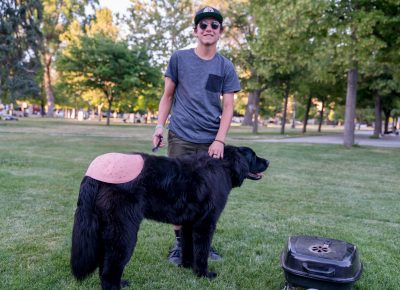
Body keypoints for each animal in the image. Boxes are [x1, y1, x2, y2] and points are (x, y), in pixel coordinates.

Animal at [71, 146, 268, 288]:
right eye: (254, 156)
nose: (268, 161)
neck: (223, 166)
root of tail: (93, 174)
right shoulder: (205, 223)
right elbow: (202, 251)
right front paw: (204, 274)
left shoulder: (189, 223)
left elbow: (189, 247)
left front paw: (187, 267)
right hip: (124, 232)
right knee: (110, 268)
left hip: (105, 228)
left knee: (105, 262)